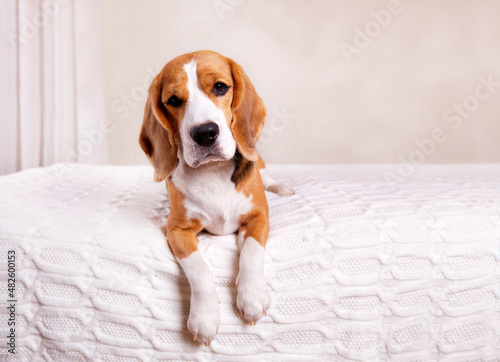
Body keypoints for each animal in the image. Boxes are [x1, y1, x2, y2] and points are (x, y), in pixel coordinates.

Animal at [139, 50, 292, 346]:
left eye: (220, 87)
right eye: (173, 100)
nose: (204, 133)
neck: (212, 171)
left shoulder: (259, 217)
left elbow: (251, 251)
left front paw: (252, 296)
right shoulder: (177, 231)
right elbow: (199, 269)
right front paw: (204, 317)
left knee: (267, 176)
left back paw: (282, 188)